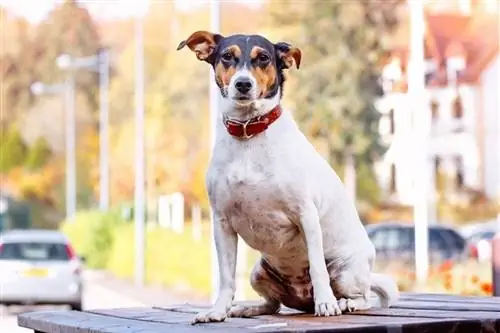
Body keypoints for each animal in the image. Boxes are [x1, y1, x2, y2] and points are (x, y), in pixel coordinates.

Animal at [178, 29, 400, 322]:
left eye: (263, 58)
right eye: (227, 56)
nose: (243, 84)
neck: (249, 134)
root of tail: (302, 298)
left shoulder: (306, 214)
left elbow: (317, 268)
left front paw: (326, 304)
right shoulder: (222, 222)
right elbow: (226, 277)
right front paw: (218, 311)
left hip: (345, 271)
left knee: (363, 297)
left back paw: (343, 303)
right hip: (258, 273)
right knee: (273, 304)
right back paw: (249, 308)